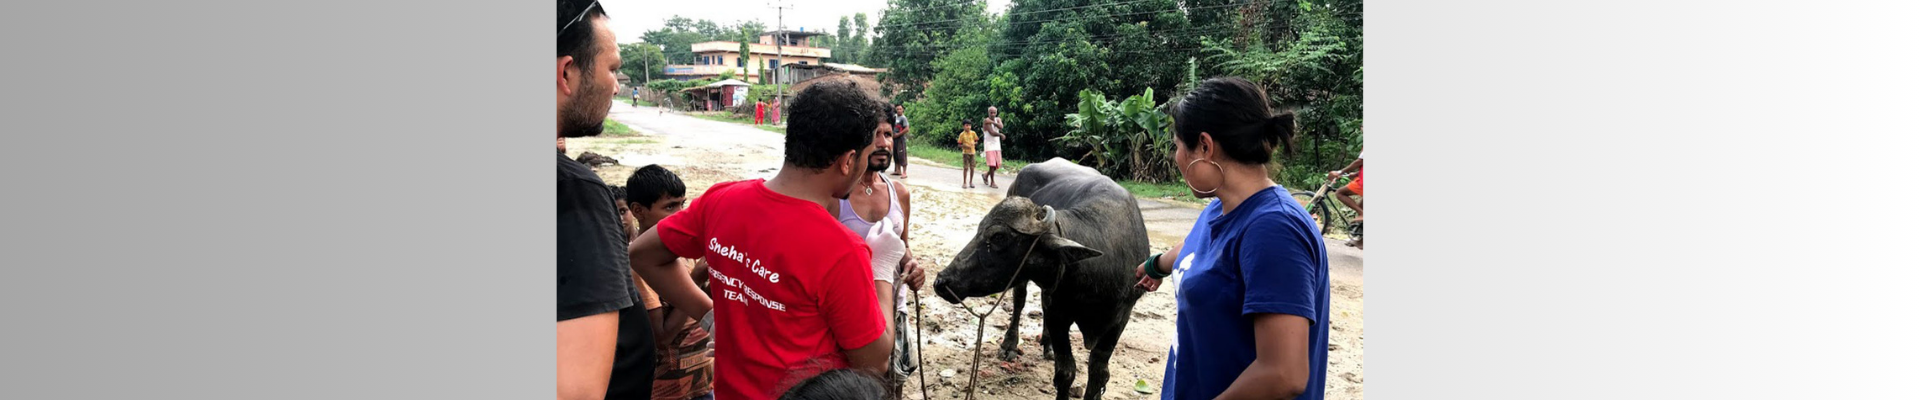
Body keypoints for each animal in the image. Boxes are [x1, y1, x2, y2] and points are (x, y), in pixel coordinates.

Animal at [933, 157, 1144, 400]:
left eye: (998, 237)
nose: (941, 281)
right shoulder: (1059, 314)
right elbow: (1066, 371)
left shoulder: (1120, 319)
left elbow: (1099, 374)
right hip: (1025, 285)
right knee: (1019, 302)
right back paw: (1010, 345)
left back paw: (1047, 344)